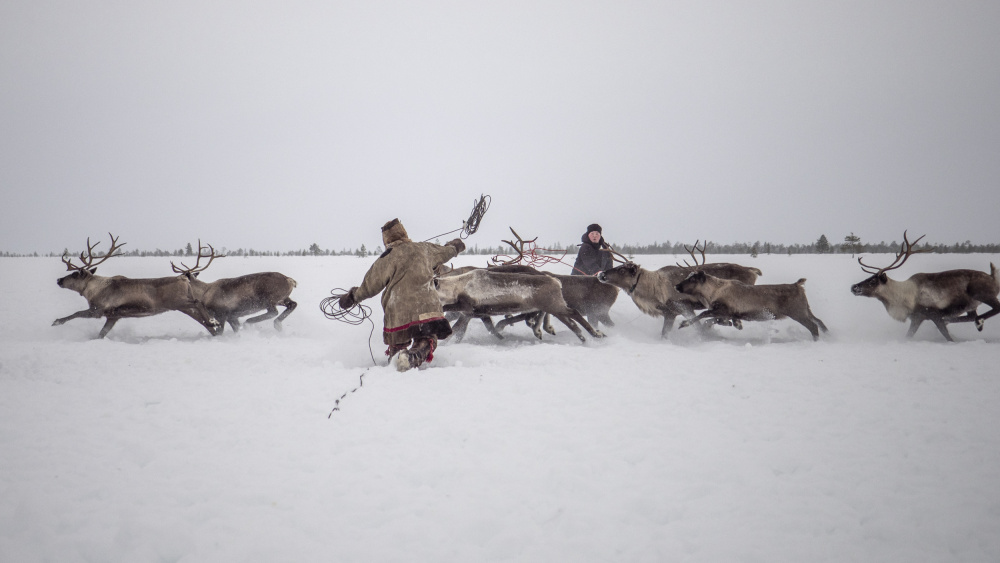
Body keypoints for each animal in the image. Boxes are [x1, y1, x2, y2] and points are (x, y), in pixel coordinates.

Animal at [53, 234, 221, 338]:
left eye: (74, 274)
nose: (59, 280)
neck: (93, 290)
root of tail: (184, 278)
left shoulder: (98, 310)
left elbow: (76, 313)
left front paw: (57, 321)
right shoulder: (113, 316)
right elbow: (101, 334)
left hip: (179, 302)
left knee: (198, 303)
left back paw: (214, 322)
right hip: (182, 306)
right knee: (202, 319)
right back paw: (215, 328)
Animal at [850, 231, 1000, 341]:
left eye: (873, 281)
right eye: (869, 278)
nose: (853, 287)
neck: (903, 297)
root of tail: (992, 276)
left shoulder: (931, 313)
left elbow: (947, 337)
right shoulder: (917, 318)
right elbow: (909, 336)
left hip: (982, 293)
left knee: (995, 308)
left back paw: (979, 322)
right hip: (971, 305)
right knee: (969, 316)